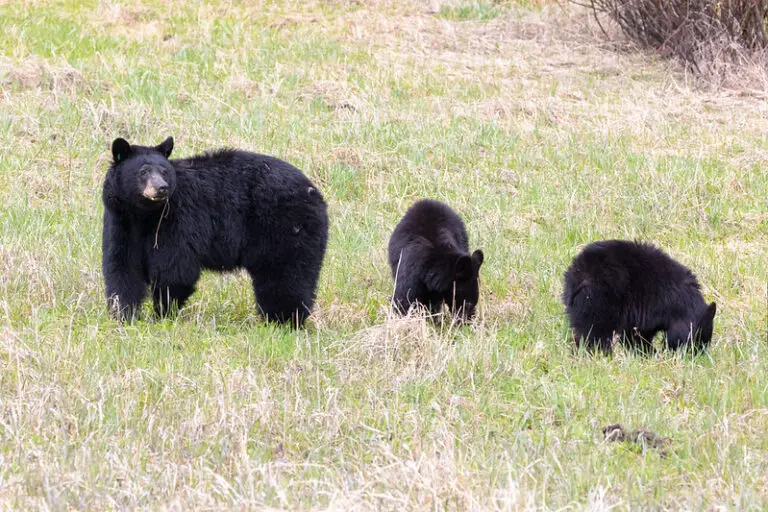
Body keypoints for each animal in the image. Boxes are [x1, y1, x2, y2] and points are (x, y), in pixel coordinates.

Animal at [101, 137, 328, 324]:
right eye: (143, 171)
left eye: (164, 171)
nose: (162, 188)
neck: (145, 216)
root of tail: (313, 191)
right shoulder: (120, 222)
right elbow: (122, 267)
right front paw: (124, 315)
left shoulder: (178, 220)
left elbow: (175, 270)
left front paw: (162, 315)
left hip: (285, 227)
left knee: (285, 276)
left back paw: (283, 320)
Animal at [560, 239, 716, 352]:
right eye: (699, 340)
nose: (698, 354)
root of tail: (579, 274)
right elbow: (641, 334)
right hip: (600, 300)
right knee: (595, 332)